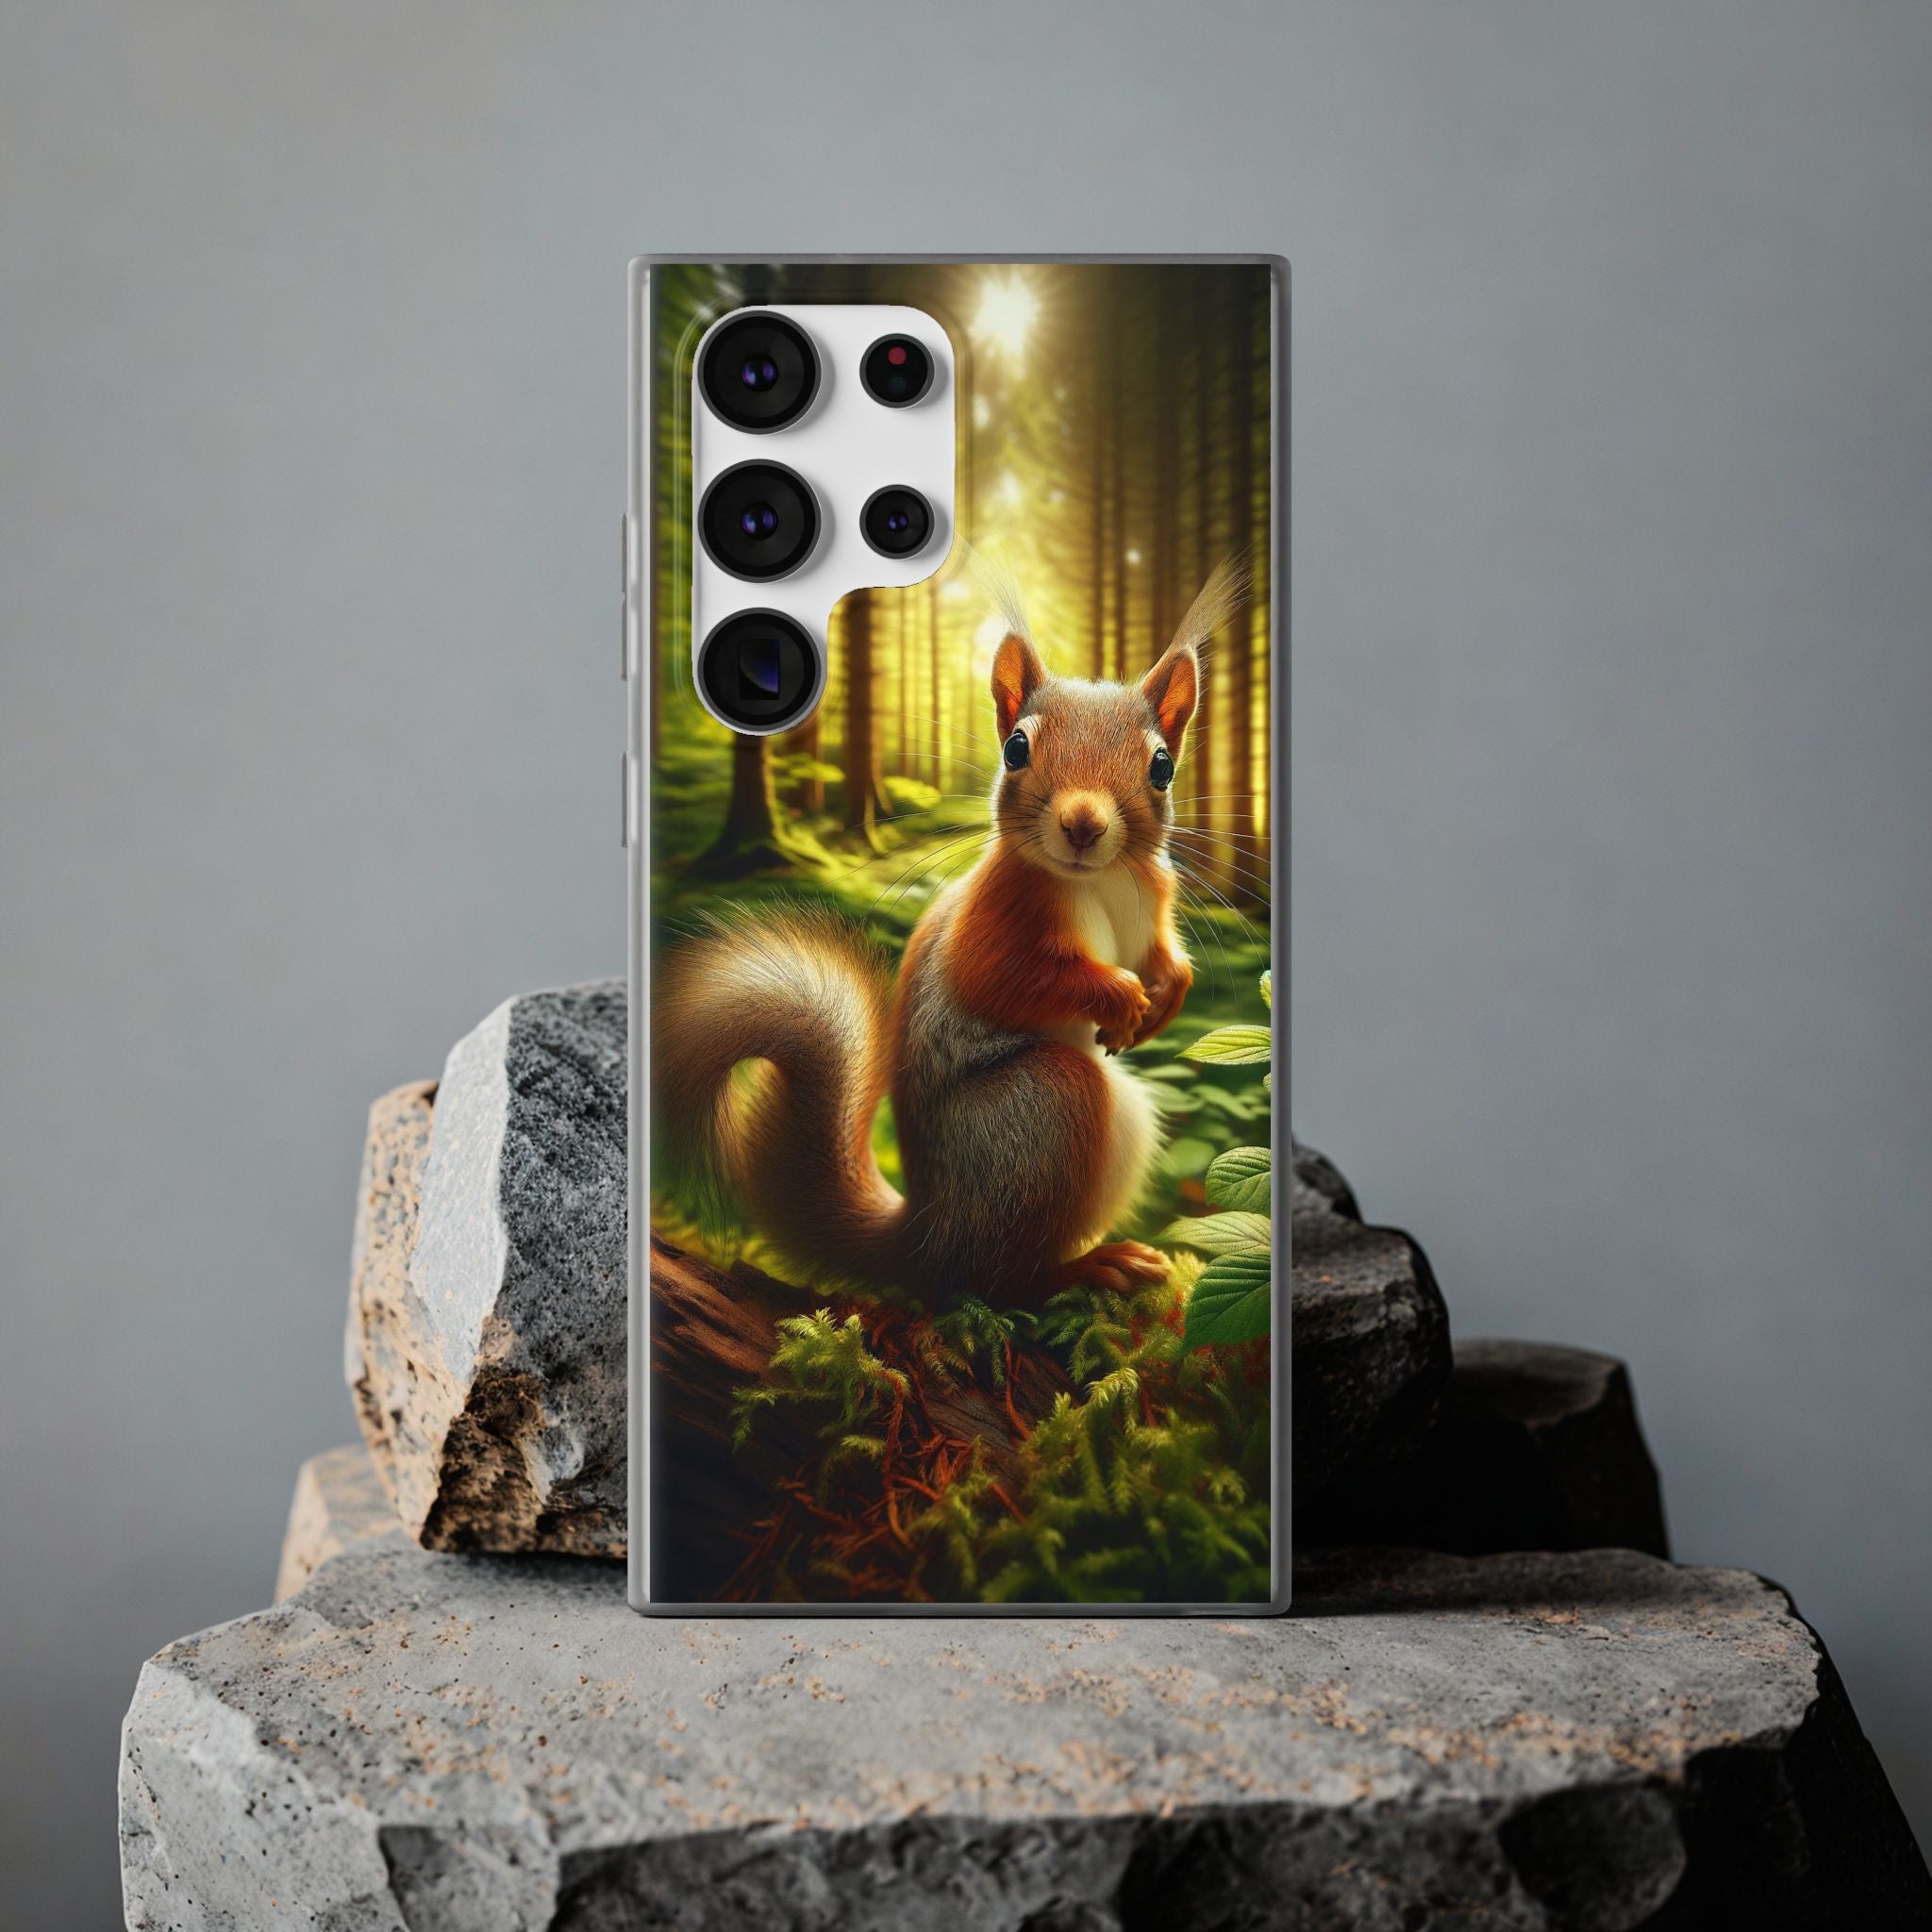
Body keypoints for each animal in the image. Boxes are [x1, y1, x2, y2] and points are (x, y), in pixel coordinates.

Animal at [655, 558, 1247, 1308]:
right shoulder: (995, 917)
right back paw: (1085, 1268)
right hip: (1046, 1106)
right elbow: (1001, 979)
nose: (1083, 825)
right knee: (992, 1280)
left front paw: (1166, 993)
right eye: (1016, 747)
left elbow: (1162, 954)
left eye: (1163, 765)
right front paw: (1119, 996)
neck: (1102, 880)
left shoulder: (1152, 902)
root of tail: (926, 1235)